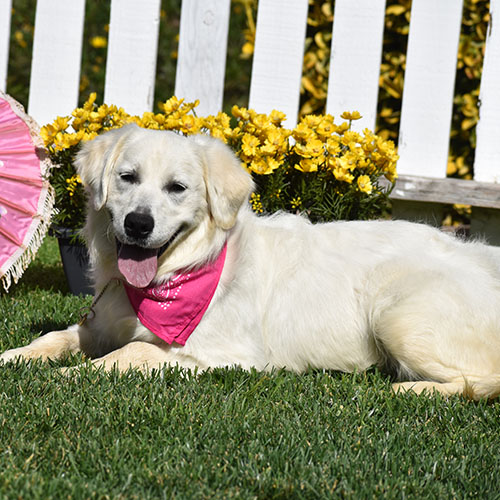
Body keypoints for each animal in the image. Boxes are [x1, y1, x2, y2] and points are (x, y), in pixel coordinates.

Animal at [2, 124, 500, 399]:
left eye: (176, 188)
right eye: (127, 178)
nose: (138, 224)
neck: (176, 275)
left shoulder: (224, 354)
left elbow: (133, 352)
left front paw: (71, 375)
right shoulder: (101, 321)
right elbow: (56, 337)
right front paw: (17, 356)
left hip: (399, 317)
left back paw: (414, 389)